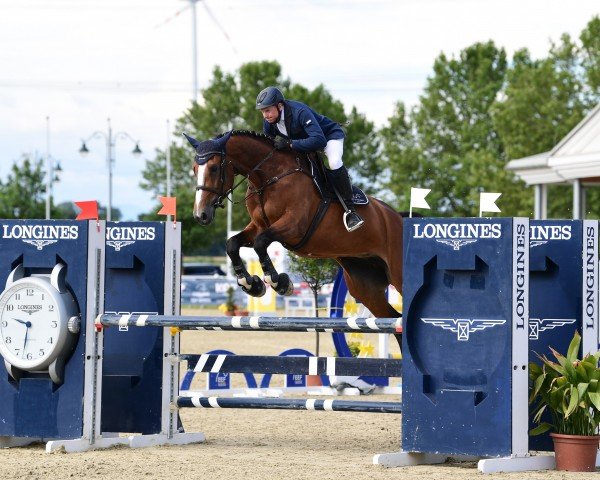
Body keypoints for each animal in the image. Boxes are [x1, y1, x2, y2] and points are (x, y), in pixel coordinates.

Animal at [185, 129, 406, 320]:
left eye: (214, 168)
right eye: (195, 169)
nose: (200, 215)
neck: (268, 178)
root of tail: (398, 217)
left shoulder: (294, 226)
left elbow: (260, 242)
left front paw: (279, 282)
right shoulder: (258, 226)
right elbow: (233, 244)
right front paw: (251, 284)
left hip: (397, 273)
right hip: (365, 284)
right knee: (393, 318)